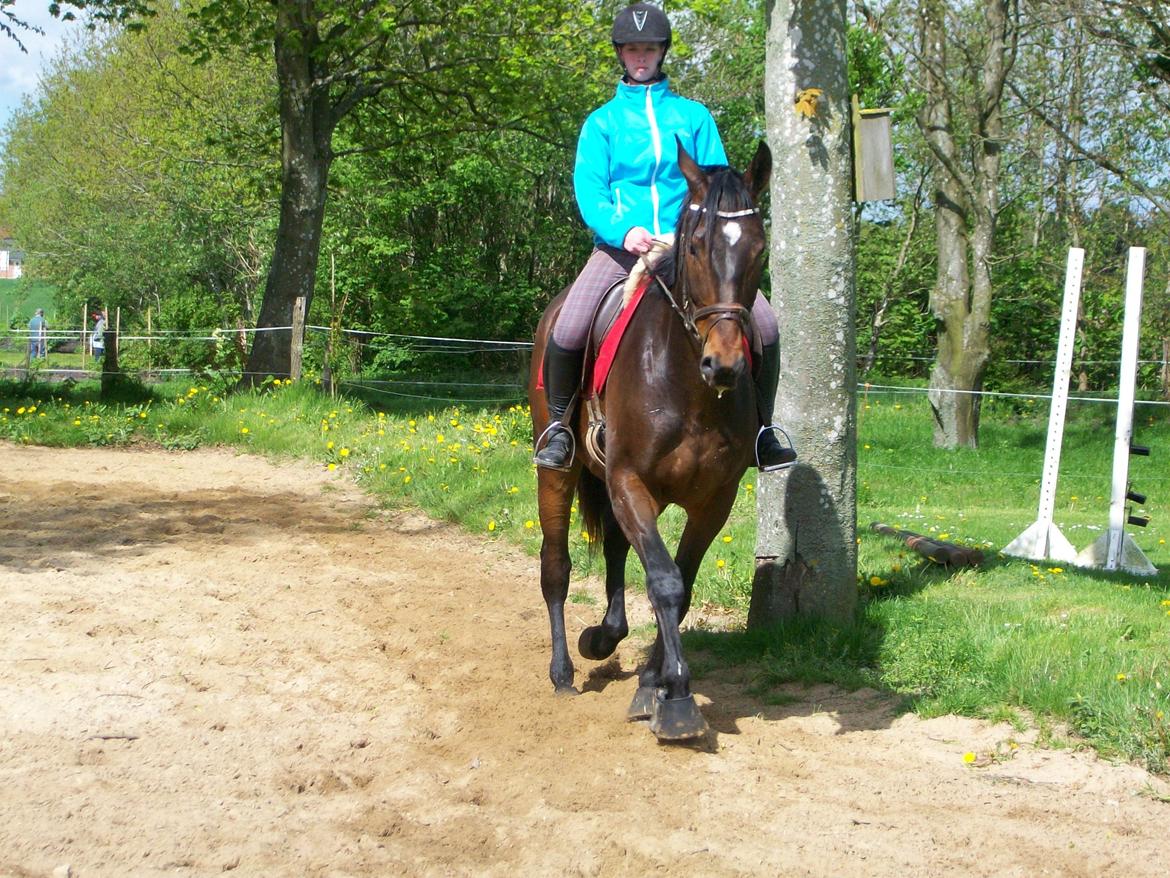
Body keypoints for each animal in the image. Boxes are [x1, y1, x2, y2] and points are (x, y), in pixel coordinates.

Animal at [528, 139, 767, 744]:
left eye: (758, 249)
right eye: (697, 246)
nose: (724, 364)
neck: (688, 386)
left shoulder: (714, 500)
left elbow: (682, 584)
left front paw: (651, 685)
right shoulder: (630, 480)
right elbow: (664, 583)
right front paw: (677, 697)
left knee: (615, 546)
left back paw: (605, 636)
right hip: (560, 471)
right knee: (556, 565)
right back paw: (563, 672)